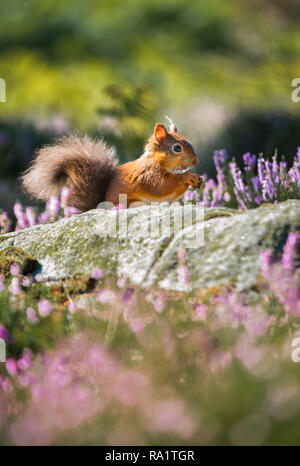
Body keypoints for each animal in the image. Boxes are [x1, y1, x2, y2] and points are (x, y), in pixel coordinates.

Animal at [22, 124, 203, 211]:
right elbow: (160, 187)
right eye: (177, 148)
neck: (156, 161)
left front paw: (198, 179)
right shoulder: (147, 174)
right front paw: (186, 176)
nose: (195, 161)